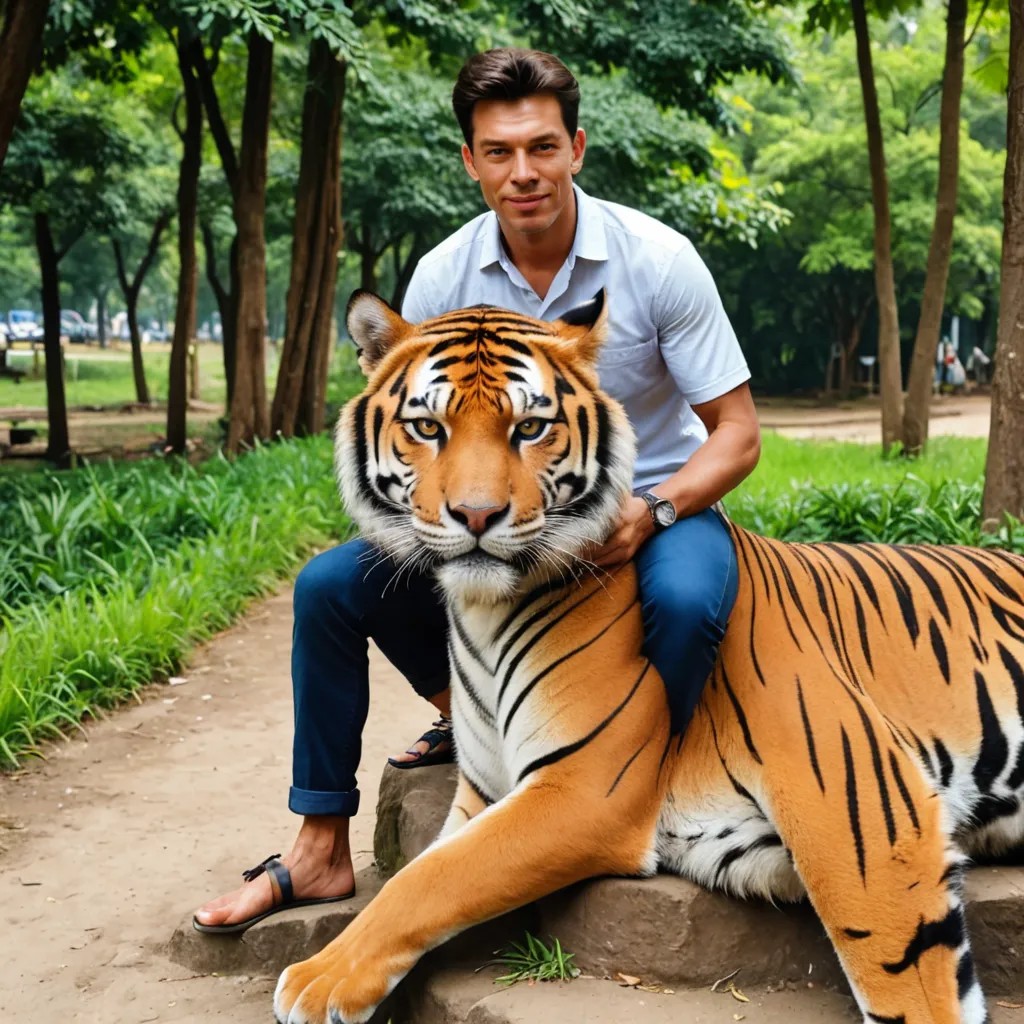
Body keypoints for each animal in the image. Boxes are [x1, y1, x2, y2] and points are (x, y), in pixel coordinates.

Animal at [274, 290, 1024, 1024]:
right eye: (428, 429)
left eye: (530, 428)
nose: (477, 516)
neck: (483, 614)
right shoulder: (486, 795)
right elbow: (417, 877)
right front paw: (338, 971)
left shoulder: (603, 792)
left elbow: (434, 878)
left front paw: (314, 980)